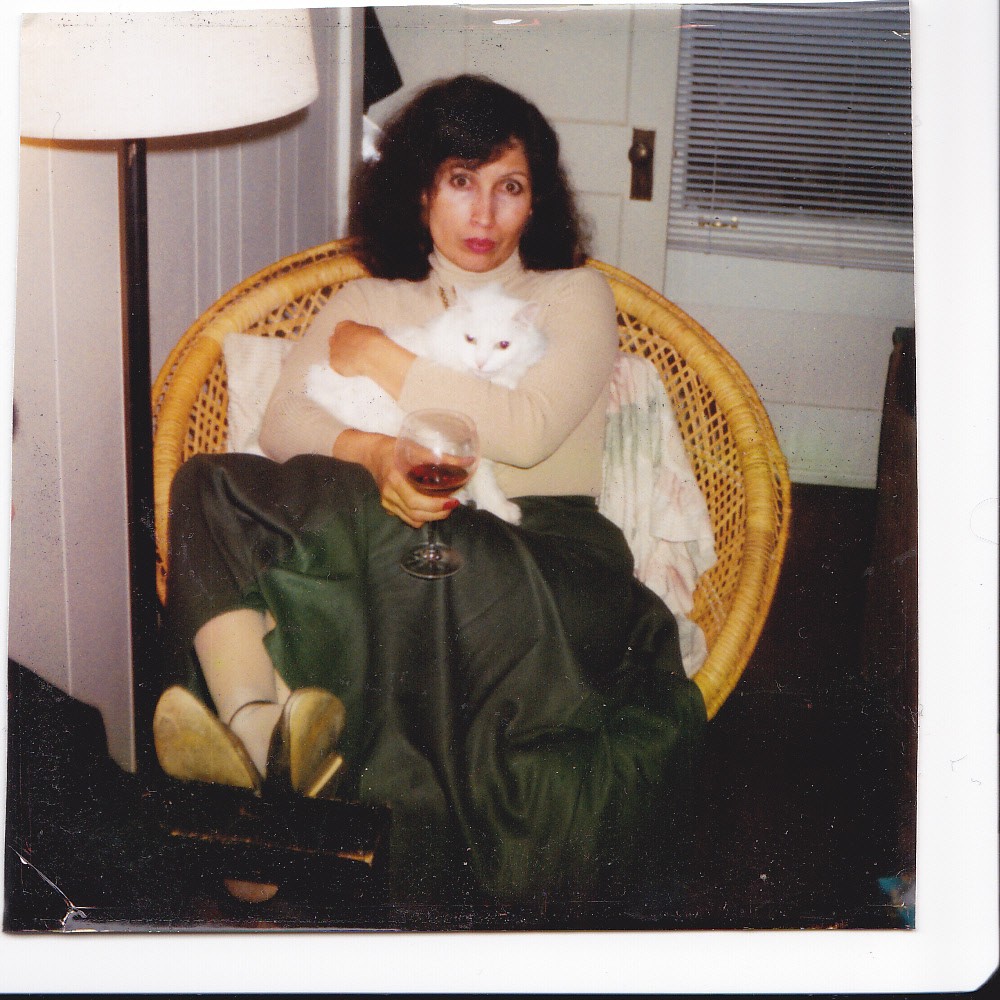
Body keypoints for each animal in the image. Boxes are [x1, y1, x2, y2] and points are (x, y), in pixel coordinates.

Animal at [305, 282, 545, 525]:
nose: (480, 363)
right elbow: (479, 476)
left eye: (504, 345)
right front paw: (493, 506)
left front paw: (498, 509)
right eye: (470, 339)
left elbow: (482, 477)